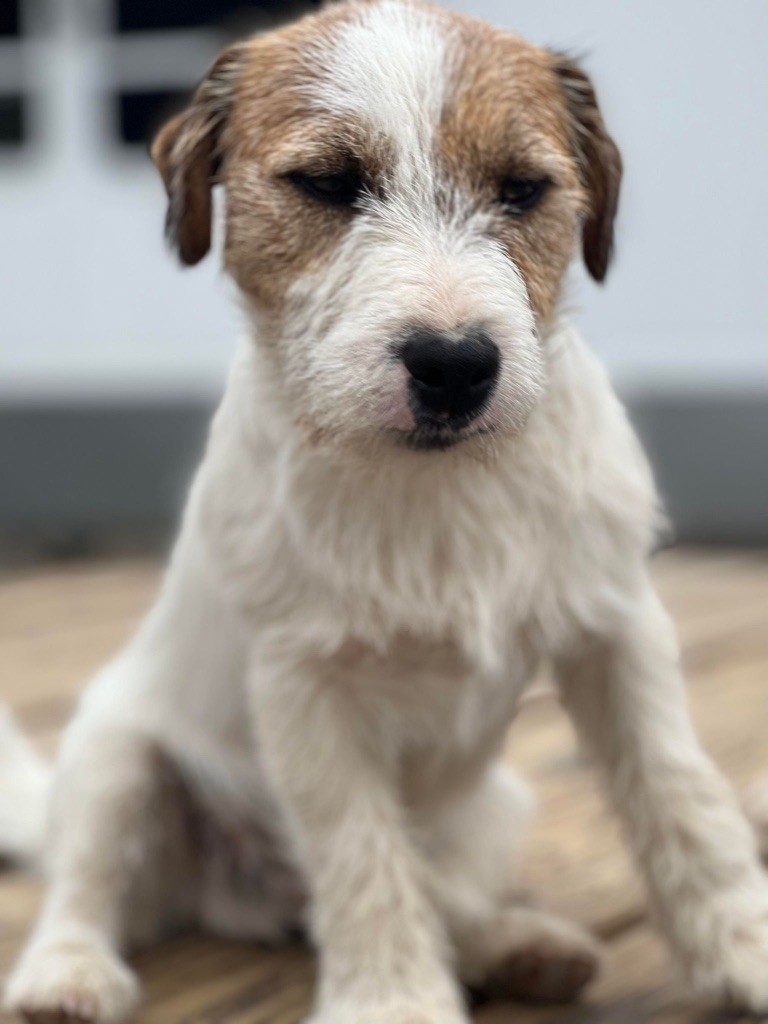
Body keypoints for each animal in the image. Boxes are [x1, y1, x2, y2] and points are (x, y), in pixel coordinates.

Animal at [4, 2, 768, 1022]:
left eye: (523, 189)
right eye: (328, 184)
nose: (455, 364)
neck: (433, 487)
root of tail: (255, 897)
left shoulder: (617, 630)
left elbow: (680, 791)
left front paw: (744, 943)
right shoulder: (307, 688)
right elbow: (362, 853)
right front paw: (395, 1000)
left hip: (496, 809)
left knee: (448, 890)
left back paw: (515, 945)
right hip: (115, 758)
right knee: (87, 884)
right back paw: (67, 973)